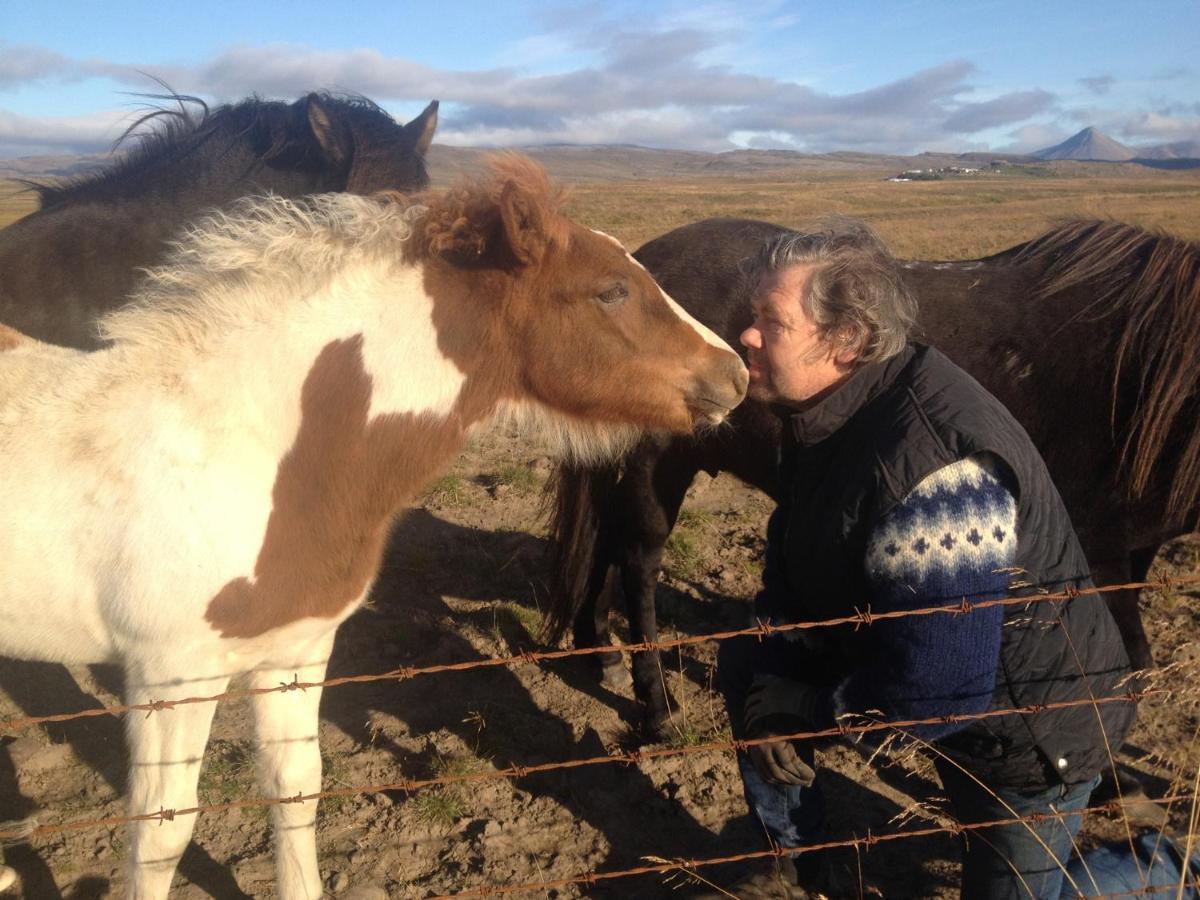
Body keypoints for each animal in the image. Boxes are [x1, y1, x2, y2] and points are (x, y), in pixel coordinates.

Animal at [0, 158, 748, 897]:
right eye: (612, 290)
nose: (737, 373)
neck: (245, 454)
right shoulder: (169, 676)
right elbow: (160, 834)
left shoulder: (296, 654)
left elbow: (296, 790)